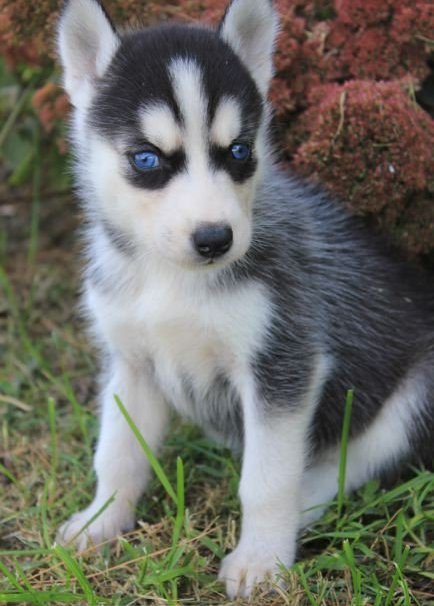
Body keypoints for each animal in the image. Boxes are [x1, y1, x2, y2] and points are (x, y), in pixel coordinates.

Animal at [56, 0, 432, 600]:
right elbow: (117, 453)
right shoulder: (130, 363)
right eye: (146, 159)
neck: (171, 279)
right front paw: (101, 521)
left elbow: (267, 480)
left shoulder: (283, 364)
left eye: (239, 151)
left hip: (417, 394)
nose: (215, 238)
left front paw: (262, 560)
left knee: (348, 463)